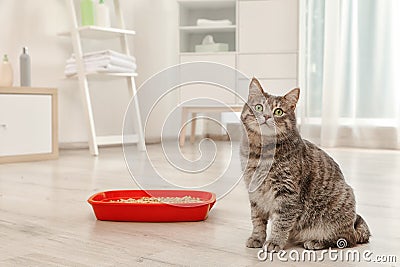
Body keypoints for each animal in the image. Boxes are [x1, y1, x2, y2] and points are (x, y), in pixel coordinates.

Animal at [239, 78, 370, 252]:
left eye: (278, 112)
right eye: (259, 107)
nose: (266, 116)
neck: (261, 152)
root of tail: (354, 225)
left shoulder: (287, 192)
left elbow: (281, 222)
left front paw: (274, 241)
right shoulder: (254, 192)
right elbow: (257, 219)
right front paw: (257, 238)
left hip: (338, 211)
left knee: (346, 239)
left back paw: (316, 241)